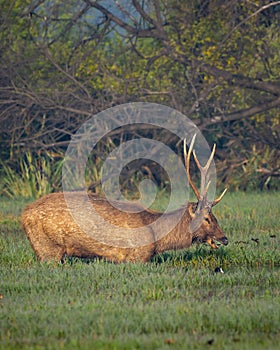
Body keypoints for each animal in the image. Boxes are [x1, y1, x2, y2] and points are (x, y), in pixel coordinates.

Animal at [21, 135, 228, 264]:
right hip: (48, 248)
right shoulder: (137, 256)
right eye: (207, 218)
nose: (224, 238)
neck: (158, 239)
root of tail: (24, 214)